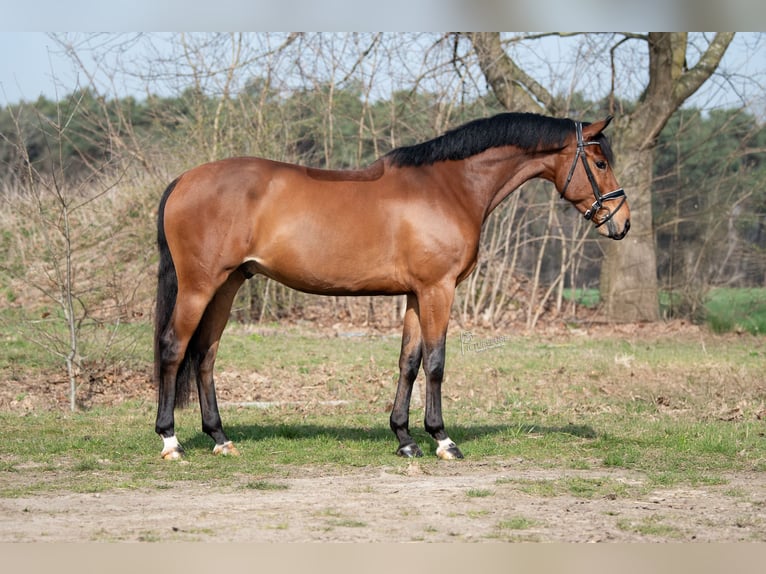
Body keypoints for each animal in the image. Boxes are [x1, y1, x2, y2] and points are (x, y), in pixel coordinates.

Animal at [153, 112, 630, 461]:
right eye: (600, 163)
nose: (622, 223)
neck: (449, 188)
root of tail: (184, 180)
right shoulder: (438, 290)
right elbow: (435, 363)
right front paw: (443, 440)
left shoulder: (417, 295)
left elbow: (409, 362)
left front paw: (405, 439)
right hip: (200, 286)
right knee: (174, 348)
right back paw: (171, 441)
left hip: (228, 284)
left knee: (205, 355)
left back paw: (220, 438)